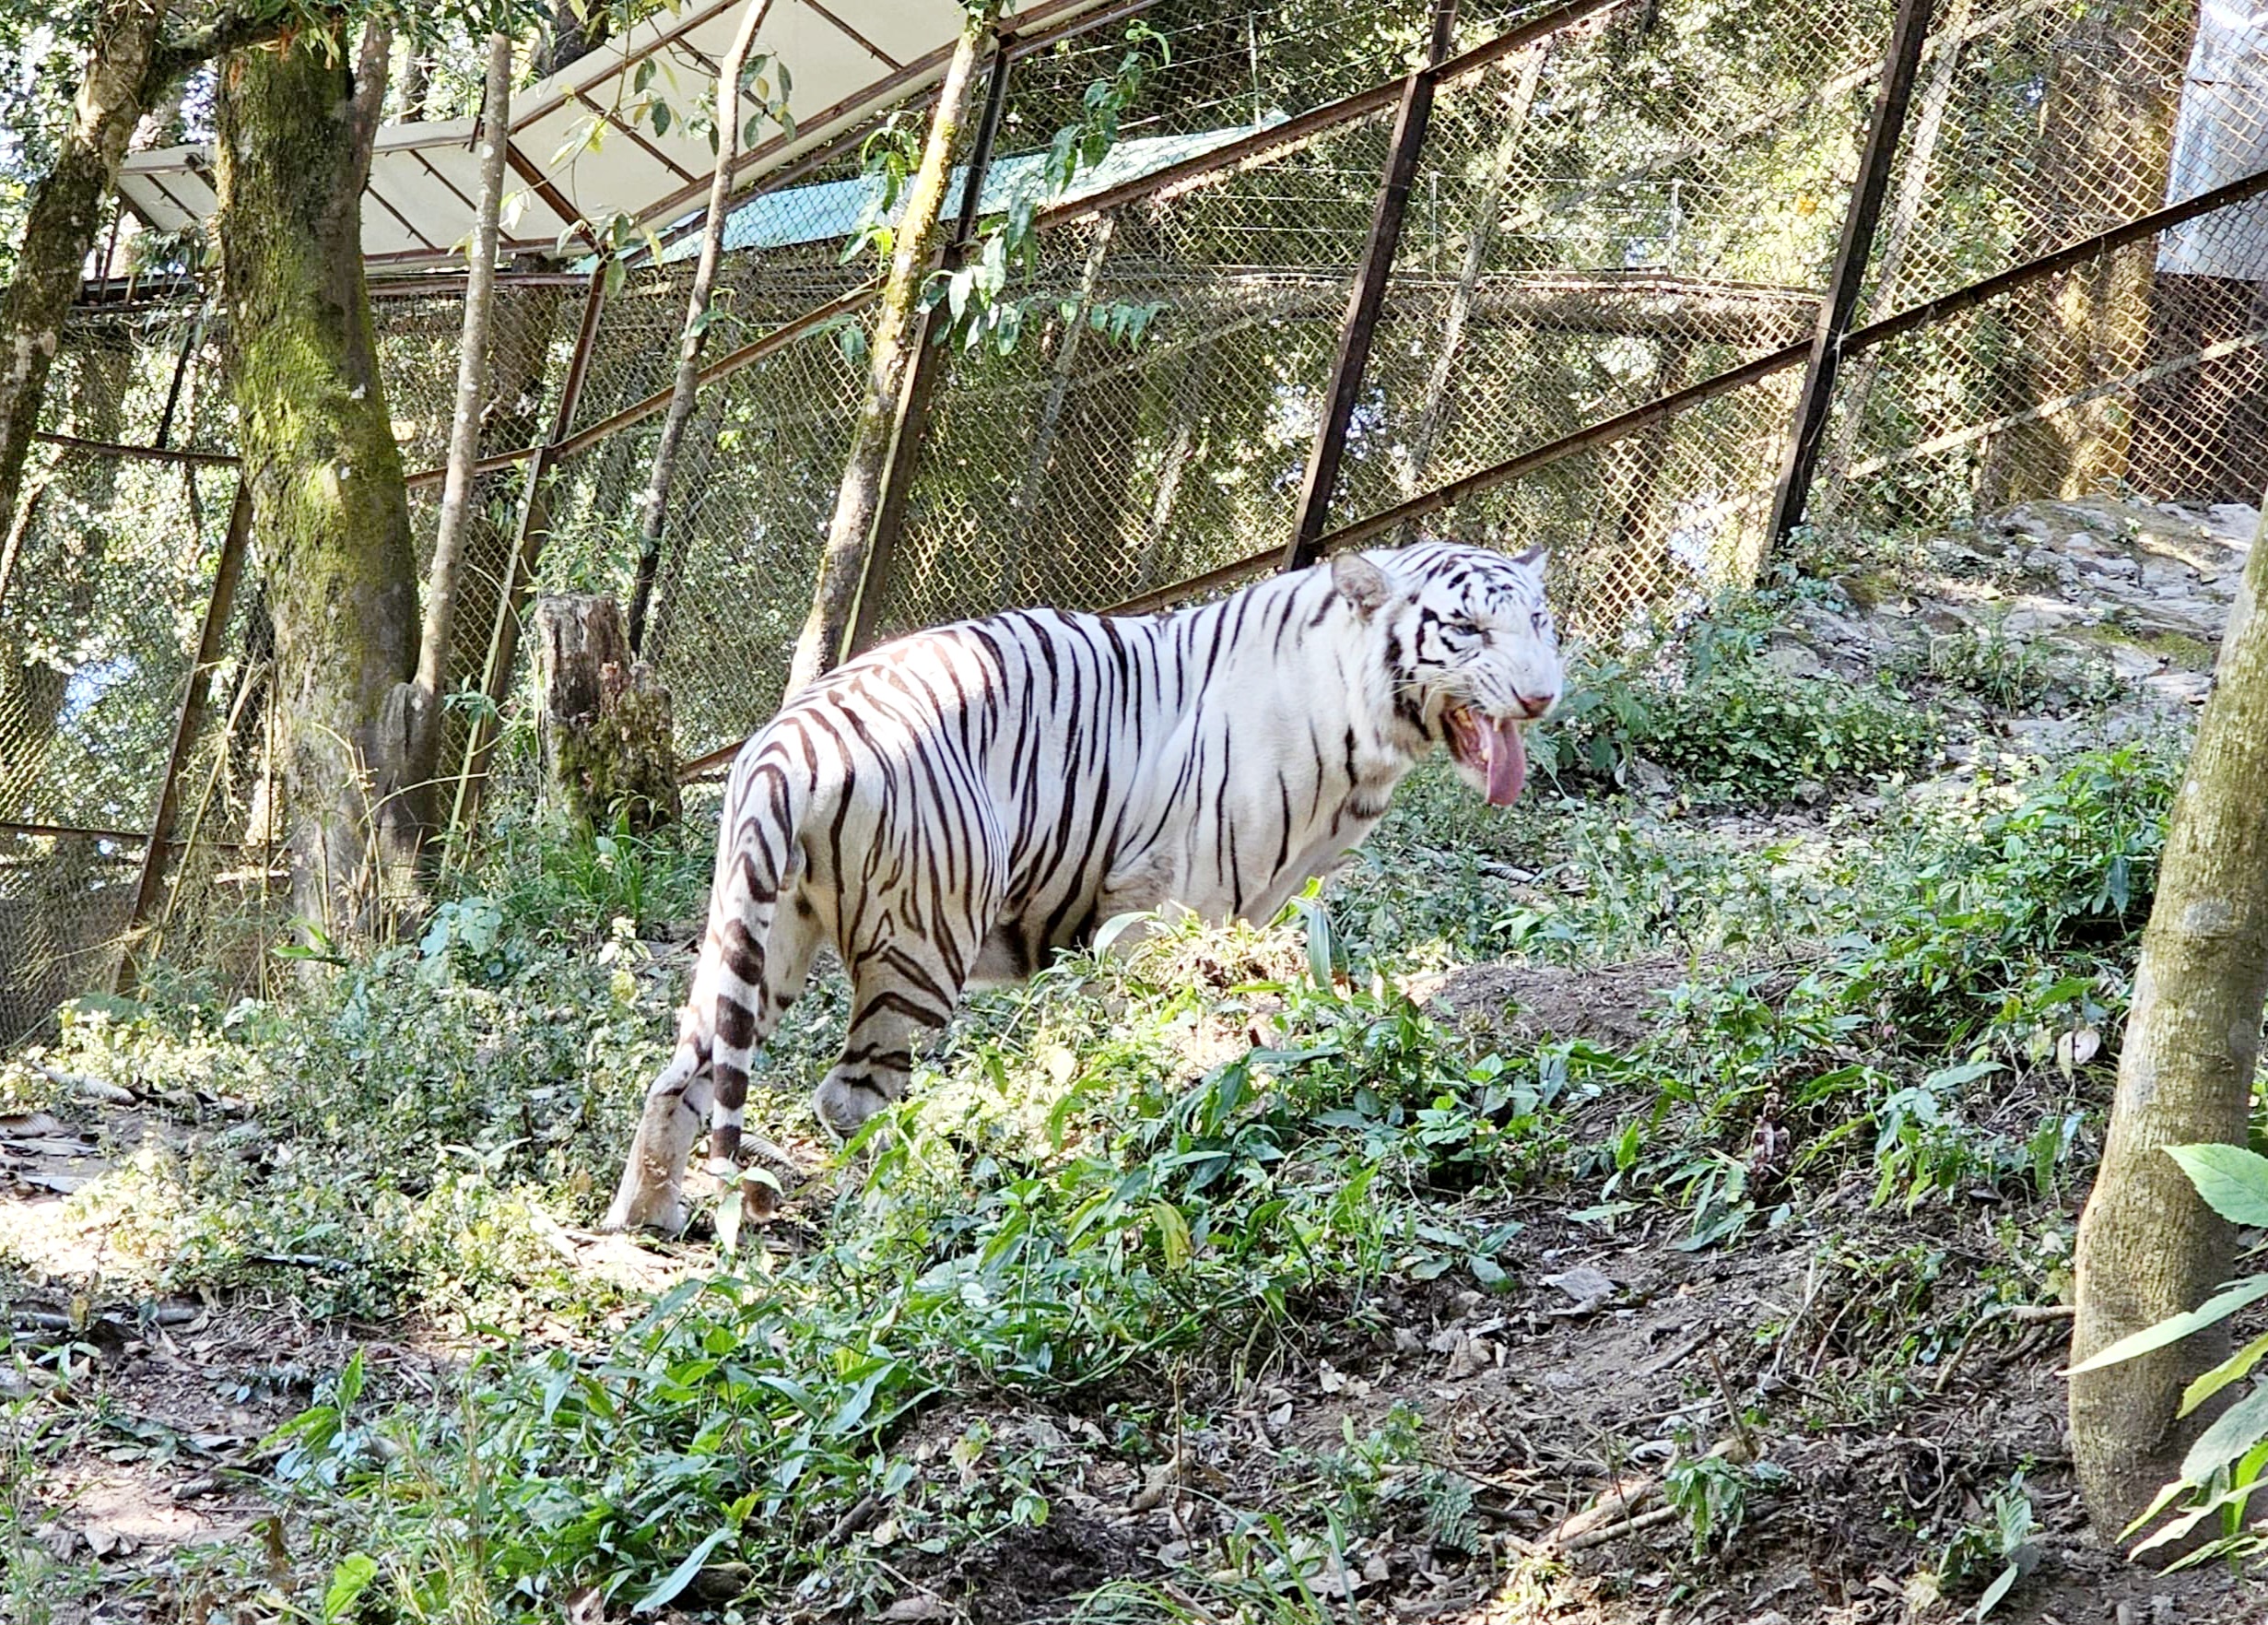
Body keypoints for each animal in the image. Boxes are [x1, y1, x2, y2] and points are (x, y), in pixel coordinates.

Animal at [602, 539, 1564, 1233]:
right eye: (1466, 629)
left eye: (1539, 622)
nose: (1542, 697)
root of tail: (781, 745)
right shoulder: (1168, 904)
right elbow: (1168, 1013)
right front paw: (1172, 1094)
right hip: (922, 943)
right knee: (850, 1096)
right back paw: (909, 1197)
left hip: (762, 934)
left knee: (682, 1070)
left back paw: (647, 1217)